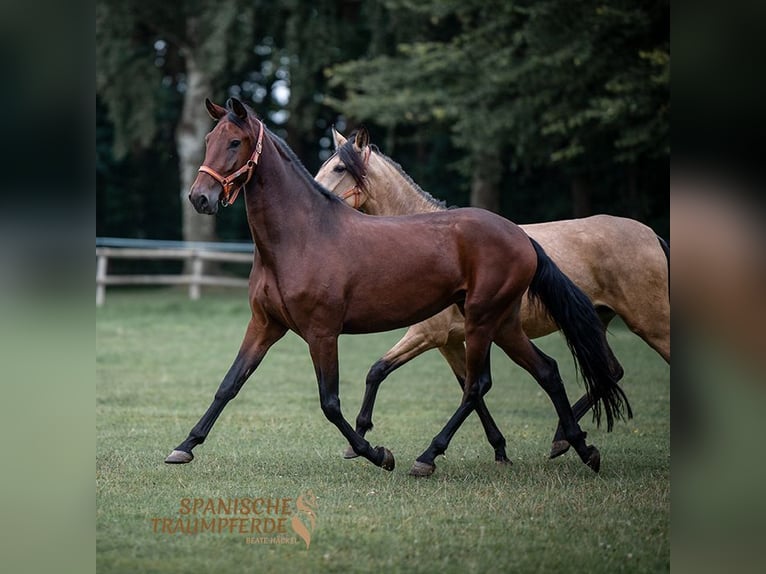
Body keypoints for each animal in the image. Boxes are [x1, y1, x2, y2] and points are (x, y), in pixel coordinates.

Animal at [164, 99, 632, 476]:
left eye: (235, 143)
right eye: (208, 139)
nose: (199, 198)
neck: (301, 235)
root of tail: (520, 236)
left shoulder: (322, 333)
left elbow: (330, 403)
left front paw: (377, 453)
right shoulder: (265, 325)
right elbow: (229, 384)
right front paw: (184, 447)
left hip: (482, 322)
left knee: (477, 385)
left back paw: (428, 457)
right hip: (503, 323)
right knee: (546, 371)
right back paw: (581, 448)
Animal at [316, 128, 668, 462]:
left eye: (338, 168)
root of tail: (651, 235)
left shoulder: (427, 335)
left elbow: (378, 371)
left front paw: (363, 439)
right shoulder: (450, 342)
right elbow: (468, 387)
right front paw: (499, 448)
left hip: (651, 324)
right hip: (595, 323)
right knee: (608, 371)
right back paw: (562, 439)